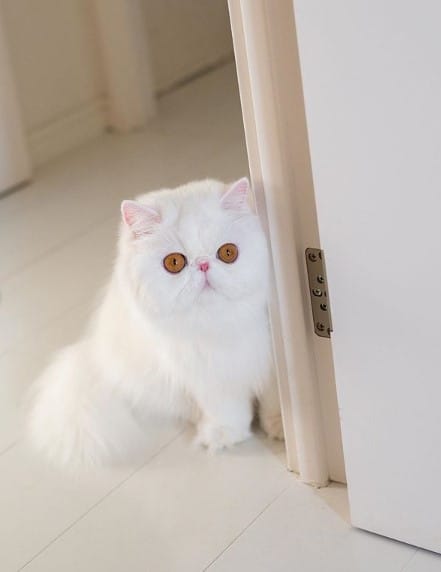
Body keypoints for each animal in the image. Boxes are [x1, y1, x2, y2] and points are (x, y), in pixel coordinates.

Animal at [28, 178, 283, 468]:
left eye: (228, 253)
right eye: (174, 262)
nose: (203, 265)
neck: (221, 326)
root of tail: (93, 352)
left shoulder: (272, 363)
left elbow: (275, 400)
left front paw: (280, 430)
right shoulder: (206, 375)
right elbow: (227, 409)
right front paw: (225, 436)